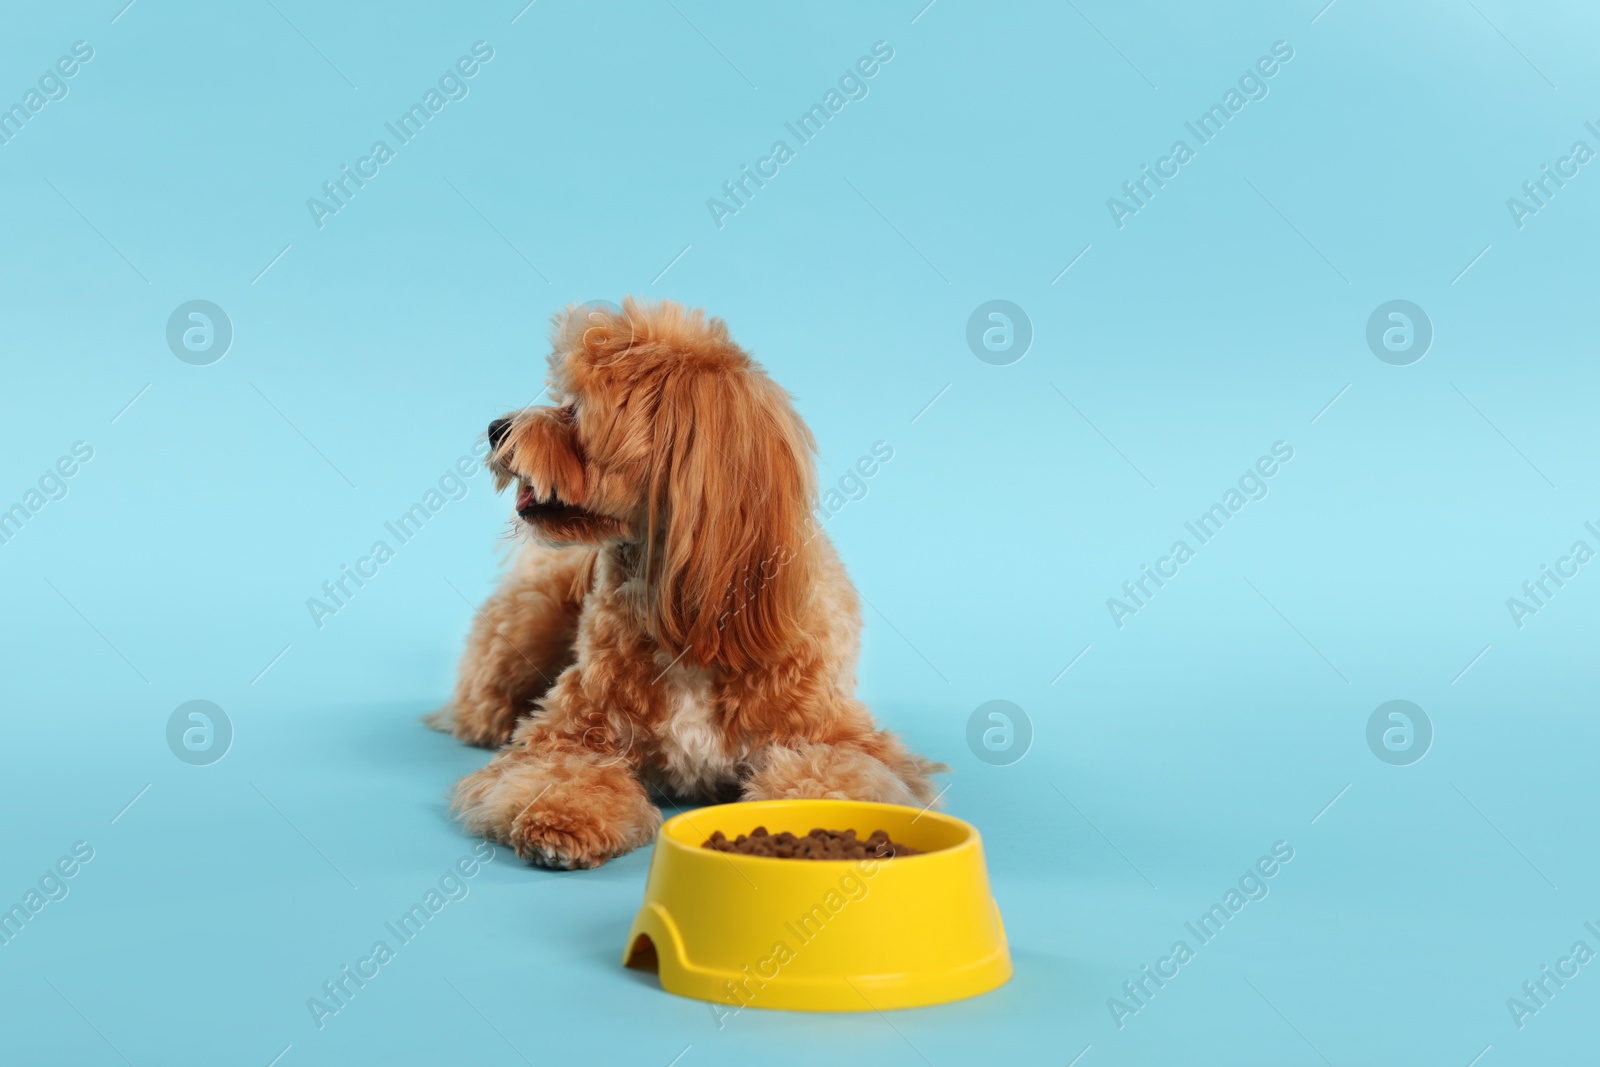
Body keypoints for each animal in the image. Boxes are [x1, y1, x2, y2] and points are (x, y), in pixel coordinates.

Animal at [432, 299, 940, 870]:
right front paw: (560, 819)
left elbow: (831, 776)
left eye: (576, 410)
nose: (495, 426)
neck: (686, 612)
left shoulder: (837, 738)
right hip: (526, 627)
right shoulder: (568, 732)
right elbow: (557, 769)